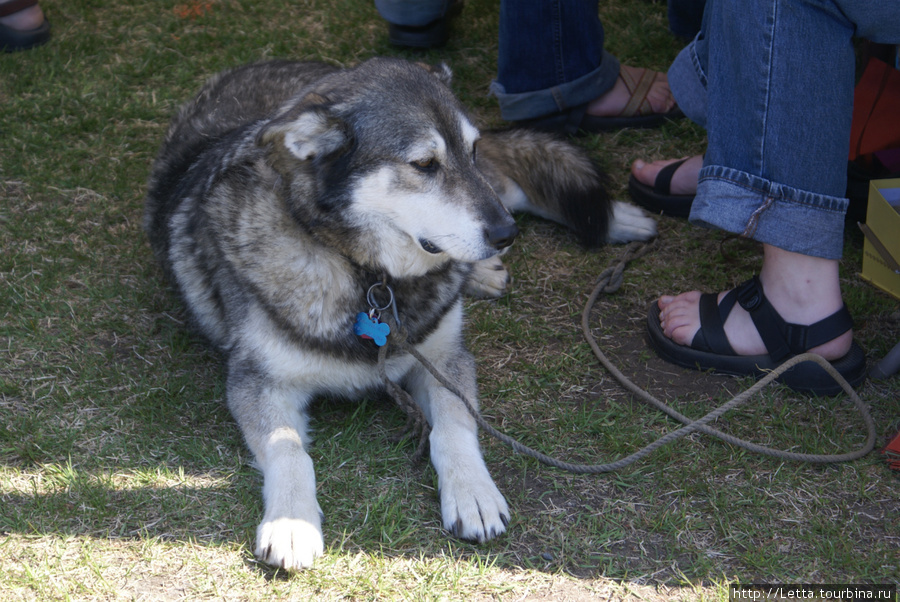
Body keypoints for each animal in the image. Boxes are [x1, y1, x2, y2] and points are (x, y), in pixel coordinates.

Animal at [146, 57, 652, 568]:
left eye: (469, 152)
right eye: (425, 164)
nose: (506, 235)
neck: (368, 274)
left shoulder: (445, 360)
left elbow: (453, 427)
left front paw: (472, 493)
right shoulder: (256, 381)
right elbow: (288, 449)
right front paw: (292, 523)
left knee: (512, 181)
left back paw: (617, 220)